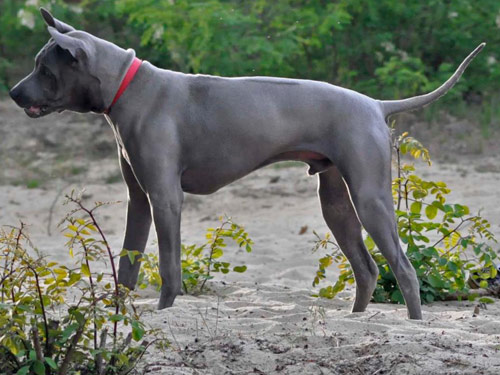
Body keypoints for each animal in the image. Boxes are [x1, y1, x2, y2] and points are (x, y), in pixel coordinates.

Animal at [7, 8, 484, 320]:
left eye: (43, 68)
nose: (13, 93)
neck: (128, 87)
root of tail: (377, 103)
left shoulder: (165, 197)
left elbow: (168, 267)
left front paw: (164, 311)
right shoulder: (138, 199)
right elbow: (127, 263)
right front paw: (116, 314)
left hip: (369, 198)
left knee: (404, 269)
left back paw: (415, 325)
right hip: (335, 200)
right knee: (366, 269)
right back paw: (355, 320)